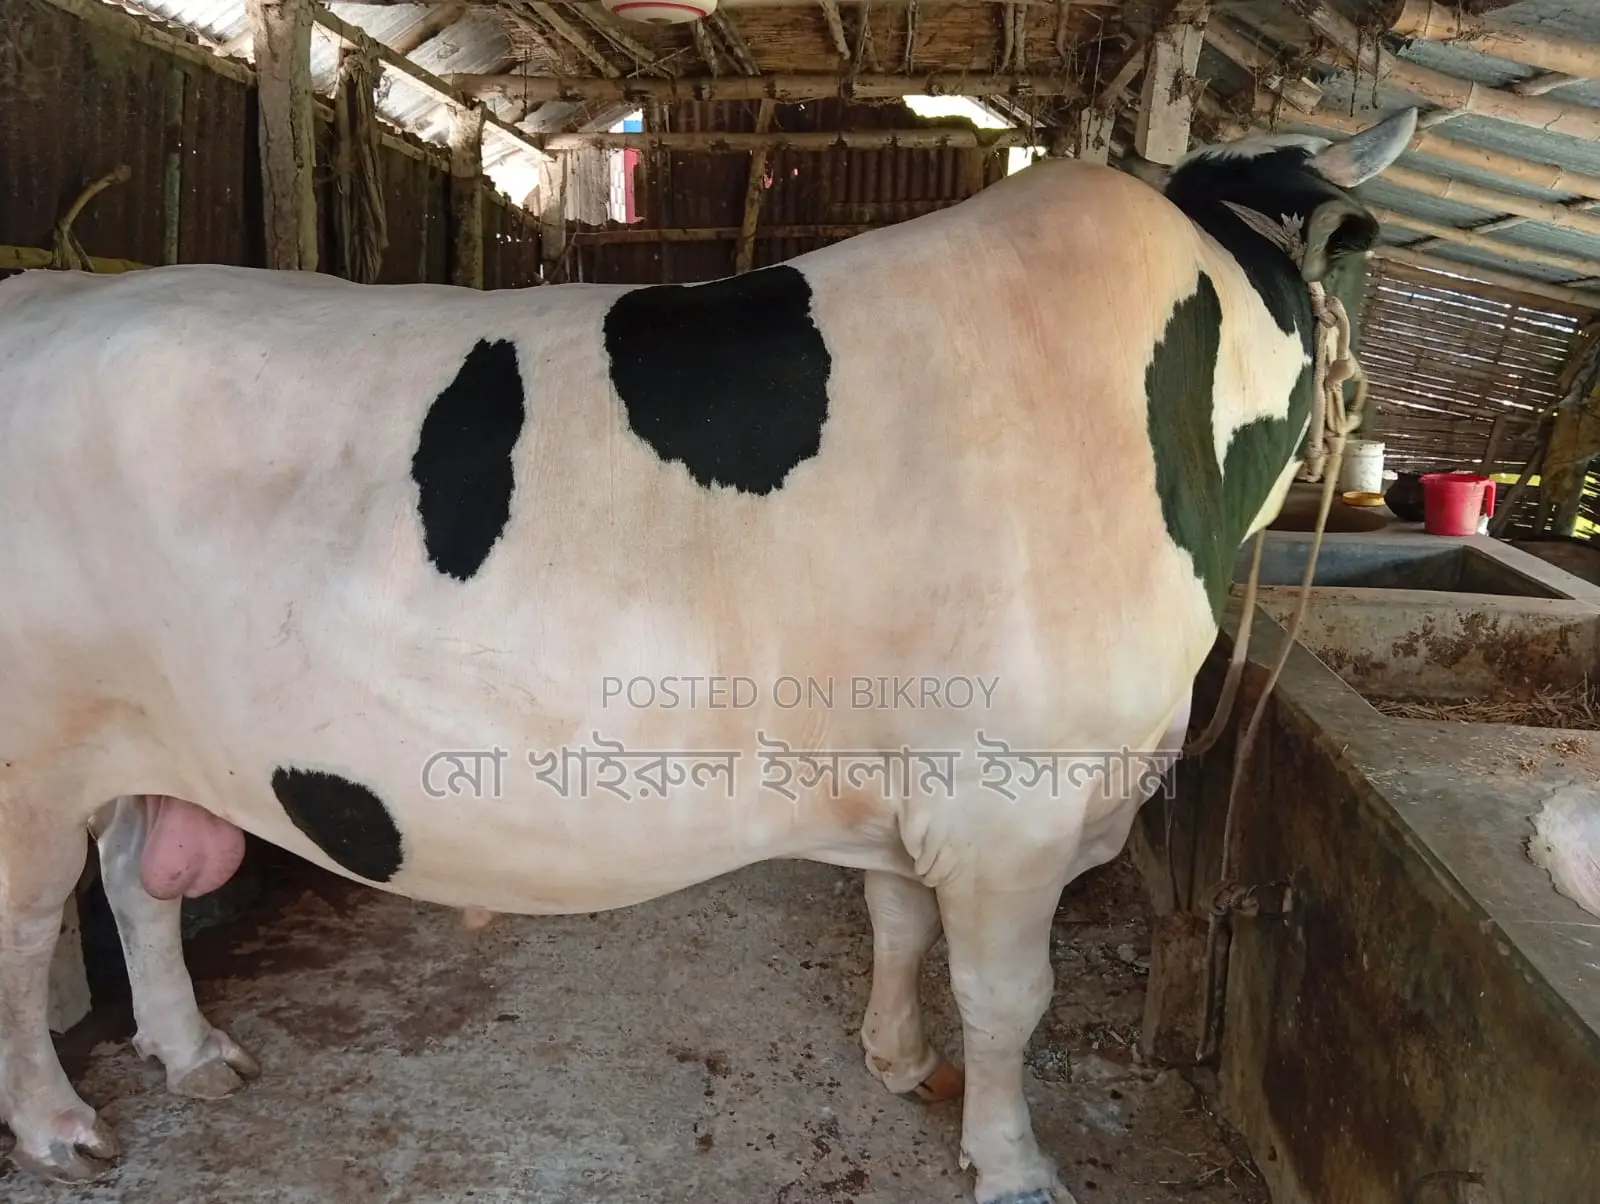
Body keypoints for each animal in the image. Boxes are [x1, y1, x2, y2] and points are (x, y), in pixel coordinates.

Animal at [0, 106, 1416, 1202]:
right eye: (1361, 256)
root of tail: (45, 285)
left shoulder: (916, 774)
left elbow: (895, 918)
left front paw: (895, 1056)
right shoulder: (1013, 793)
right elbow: (1009, 998)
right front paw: (1014, 1165)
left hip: (143, 735)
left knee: (136, 881)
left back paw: (192, 1052)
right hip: (25, 761)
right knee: (26, 935)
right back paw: (63, 1125)